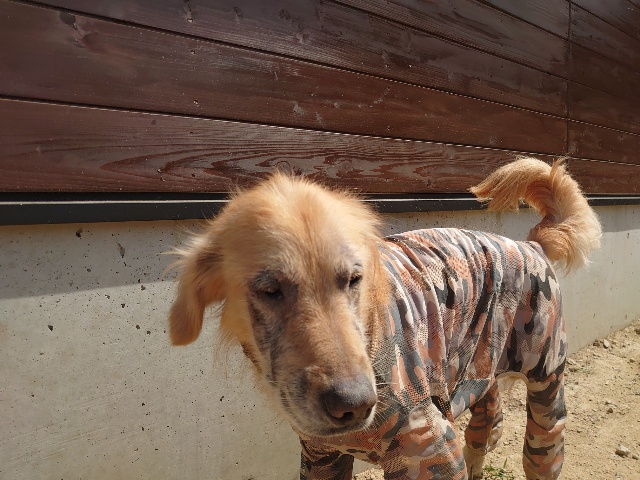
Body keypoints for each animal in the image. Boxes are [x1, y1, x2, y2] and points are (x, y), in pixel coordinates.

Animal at [168, 158, 601, 480]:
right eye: (271, 290)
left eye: (353, 279)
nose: (354, 405)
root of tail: (530, 244)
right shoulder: (321, 457)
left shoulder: (432, 449)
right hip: (481, 377)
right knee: (485, 430)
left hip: (546, 385)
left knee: (542, 450)